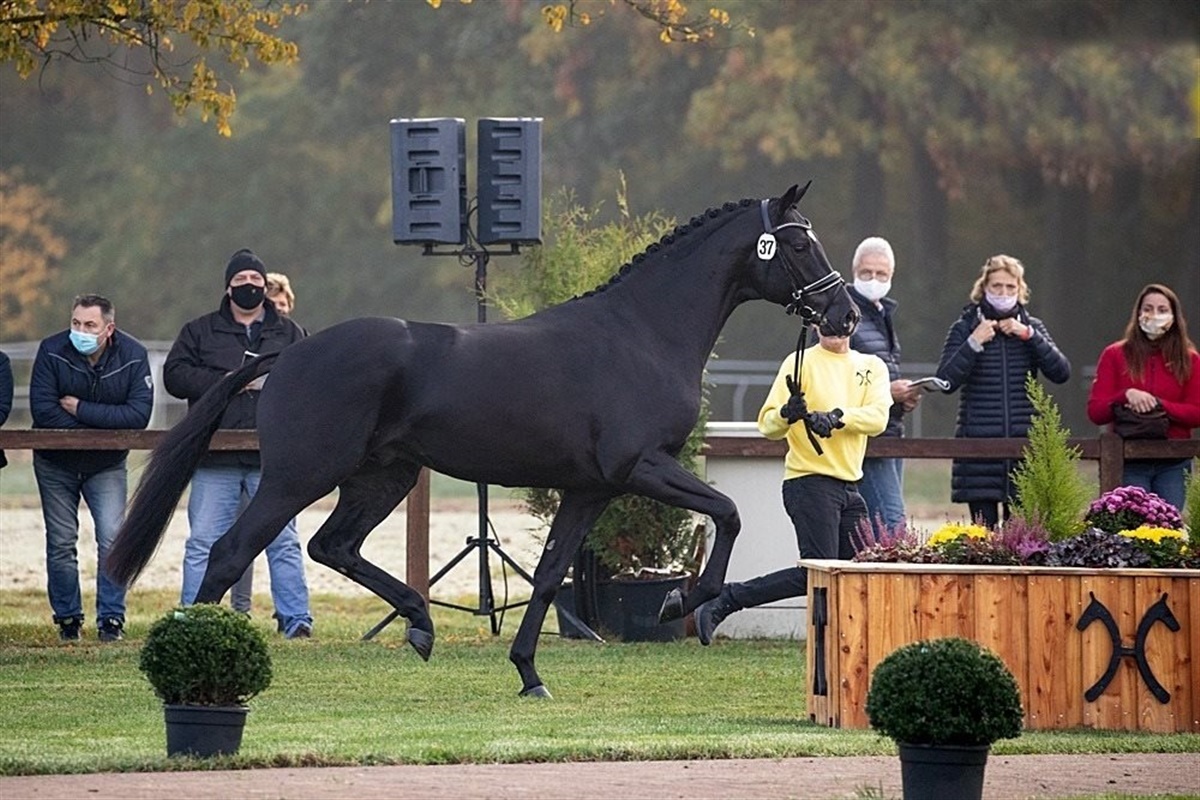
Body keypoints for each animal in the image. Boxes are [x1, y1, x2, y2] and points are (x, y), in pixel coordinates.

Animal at [107, 182, 858, 698]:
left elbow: (551, 574)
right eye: (797, 243)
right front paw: (688, 604)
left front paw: (528, 672)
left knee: (333, 546)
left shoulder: (590, 488)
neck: (641, 334)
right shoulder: (638, 466)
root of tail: (283, 355)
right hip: (299, 476)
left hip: (381, 477)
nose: (844, 312)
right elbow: (726, 514)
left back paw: (420, 624)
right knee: (232, 552)